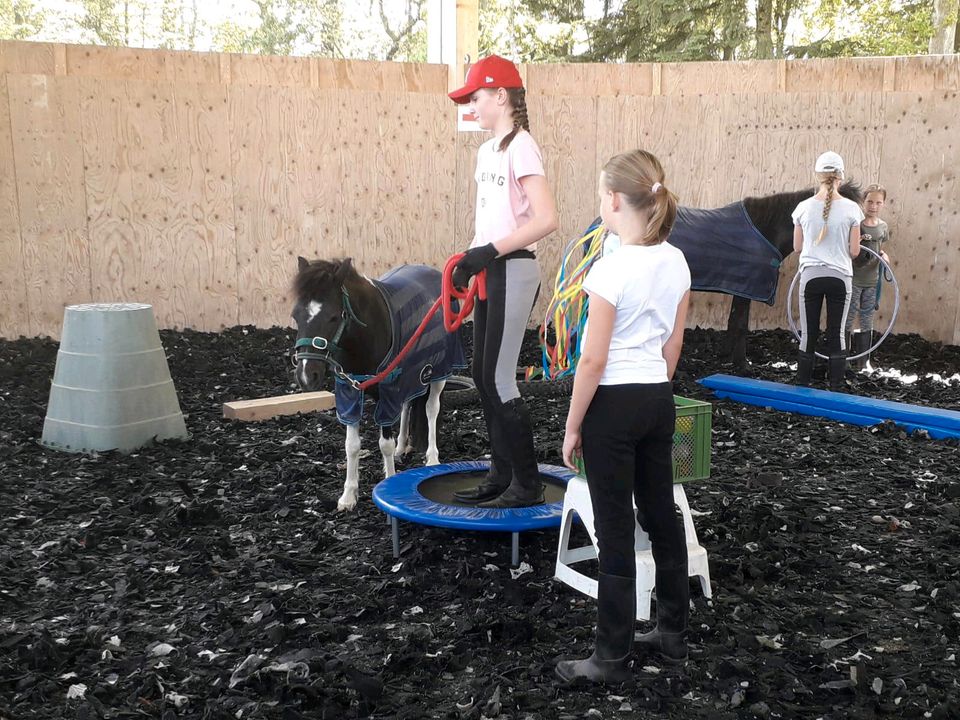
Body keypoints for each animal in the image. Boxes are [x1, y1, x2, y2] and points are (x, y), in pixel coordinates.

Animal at [290, 256, 464, 510]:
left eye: (333, 316)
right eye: (296, 316)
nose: (306, 375)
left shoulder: (388, 392)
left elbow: (384, 444)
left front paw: (389, 483)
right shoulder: (350, 393)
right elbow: (352, 445)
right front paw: (348, 496)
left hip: (438, 373)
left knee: (431, 409)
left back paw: (432, 458)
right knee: (408, 405)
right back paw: (403, 447)